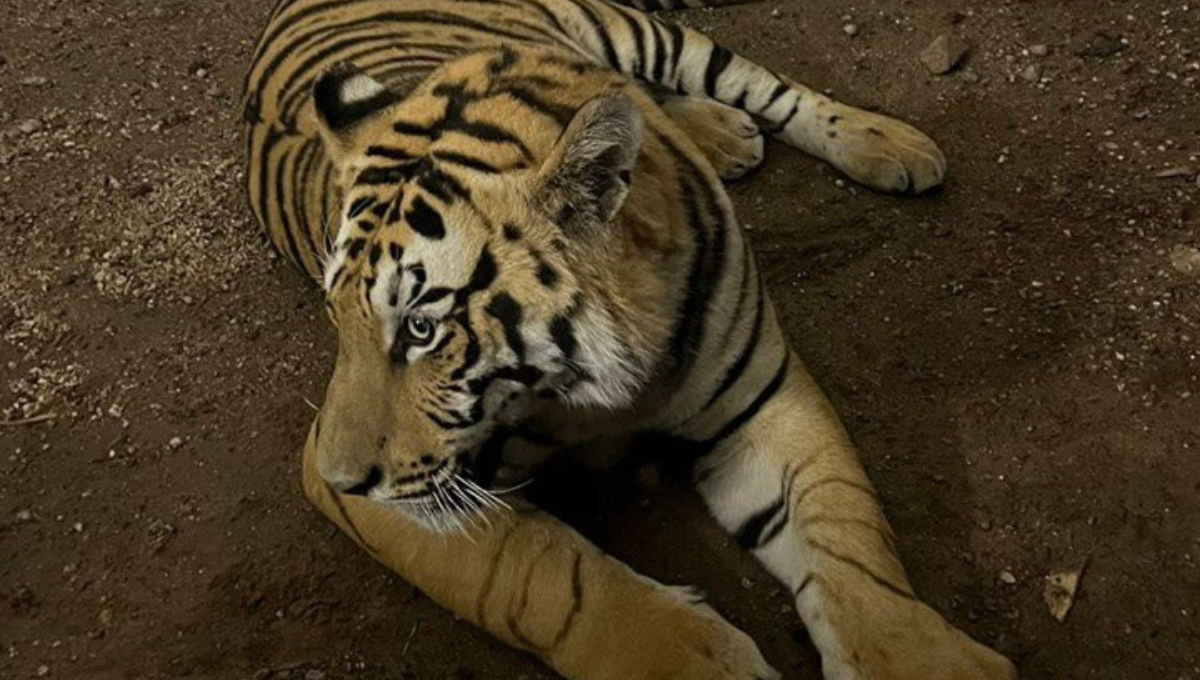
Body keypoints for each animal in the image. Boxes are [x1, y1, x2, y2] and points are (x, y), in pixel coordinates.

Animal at [246, 1, 1022, 680]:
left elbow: (845, 530)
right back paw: (725, 135)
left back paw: (883, 143)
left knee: (756, 84)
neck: (596, 388)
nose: (345, 479)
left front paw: (921, 660)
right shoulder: (403, 495)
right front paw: (695, 661)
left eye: (421, 326)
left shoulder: (764, 397)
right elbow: (546, 574)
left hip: (638, 30)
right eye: (335, 316)